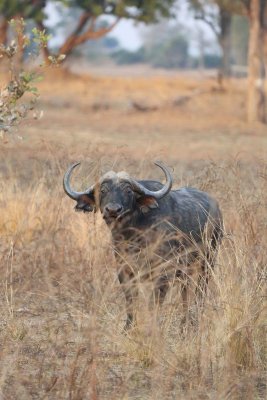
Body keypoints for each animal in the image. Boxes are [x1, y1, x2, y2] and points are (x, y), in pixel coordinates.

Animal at [63, 161, 224, 330]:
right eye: (103, 190)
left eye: (128, 191)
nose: (113, 210)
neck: (133, 235)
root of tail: (217, 210)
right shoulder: (124, 270)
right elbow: (130, 300)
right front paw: (128, 328)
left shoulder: (163, 272)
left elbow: (155, 303)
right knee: (185, 292)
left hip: (207, 262)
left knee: (200, 290)